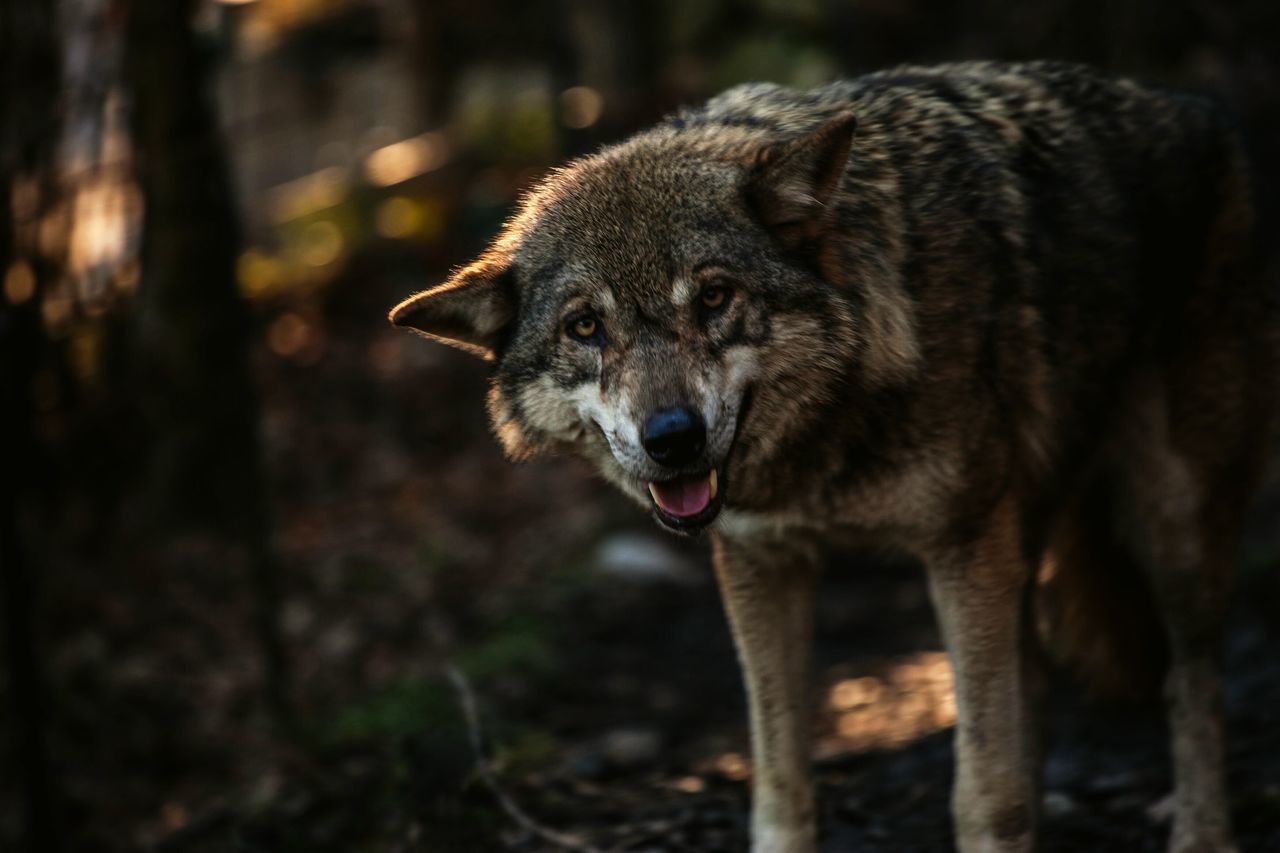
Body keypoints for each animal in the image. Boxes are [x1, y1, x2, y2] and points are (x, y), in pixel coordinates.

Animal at [391, 61, 1280, 850]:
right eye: (584, 327)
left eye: (714, 297)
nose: (672, 437)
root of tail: (1200, 108)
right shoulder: (763, 564)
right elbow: (782, 782)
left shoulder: (963, 552)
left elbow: (983, 793)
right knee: (1039, 688)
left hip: (1171, 525)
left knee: (1191, 684)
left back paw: (1203, 833)